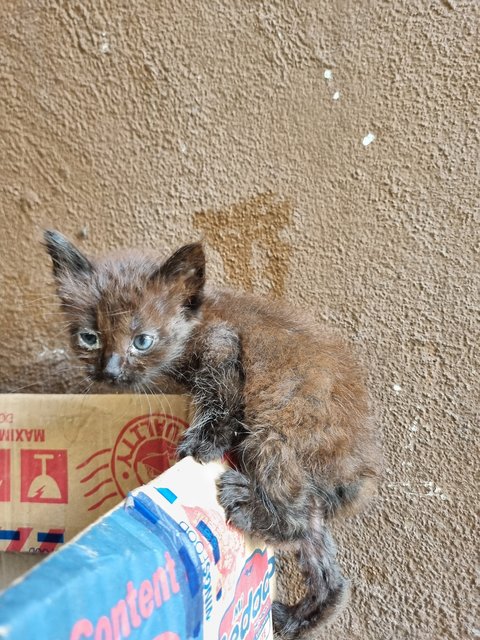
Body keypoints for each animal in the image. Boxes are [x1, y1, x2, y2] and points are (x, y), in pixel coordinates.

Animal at [46, 231, 382, 640]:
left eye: (142, 341)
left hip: (272, 434)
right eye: (89, 338)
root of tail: (361, 472)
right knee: (328, 569)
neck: (196, 320)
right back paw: (293, 620)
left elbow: (220, 403)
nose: (108, 372)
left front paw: (201, 446)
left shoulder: (223, 345)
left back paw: (245, 503)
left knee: (298, 521)